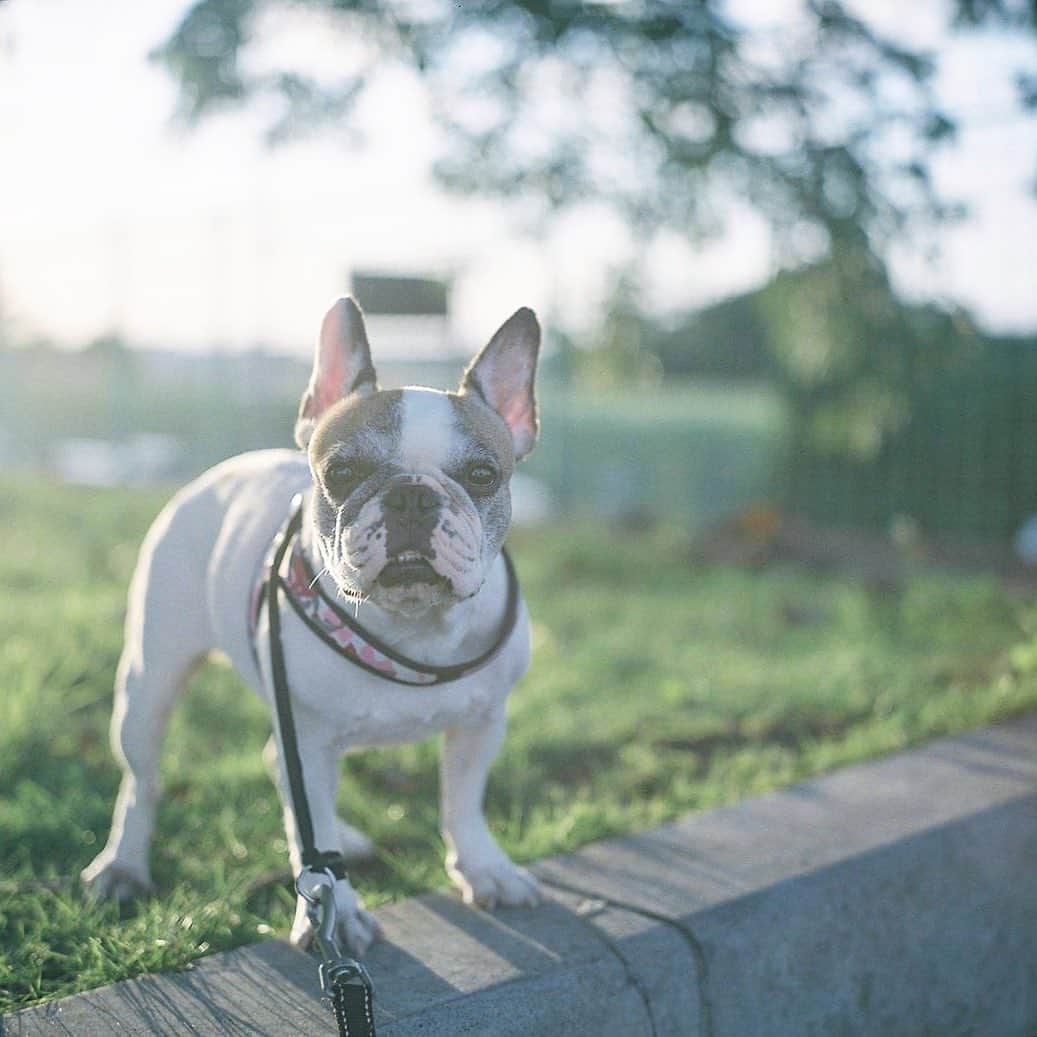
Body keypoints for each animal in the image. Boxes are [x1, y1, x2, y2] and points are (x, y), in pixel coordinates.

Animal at [82, 296, 543, 949]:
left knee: (282, 779)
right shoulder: (310, 738)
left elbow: (463, 803)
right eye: (342, 473)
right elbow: (312, 821)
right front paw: (336, 912)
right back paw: (123, 866)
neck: (412, 628)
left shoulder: (482, 723)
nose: (411, 496)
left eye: (482, 476)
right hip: (149, 685)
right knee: (142, 782)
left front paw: (485, 869)